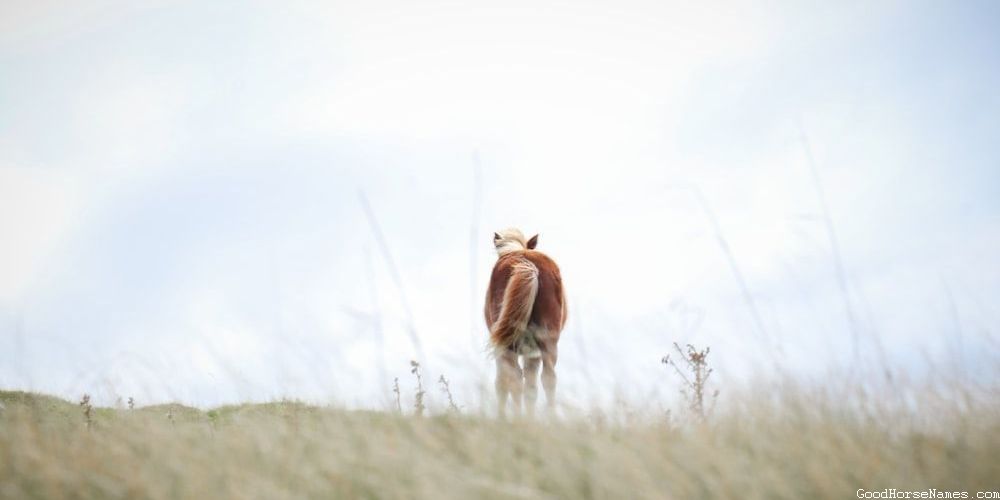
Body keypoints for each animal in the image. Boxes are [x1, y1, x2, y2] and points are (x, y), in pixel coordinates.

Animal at [485, 228, 567, 417]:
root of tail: (528, 264)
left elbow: (501, 383)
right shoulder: (533, 353)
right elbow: (531, 388)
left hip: (509, 345)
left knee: (514, 379)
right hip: (548, 341)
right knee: (548, 378)